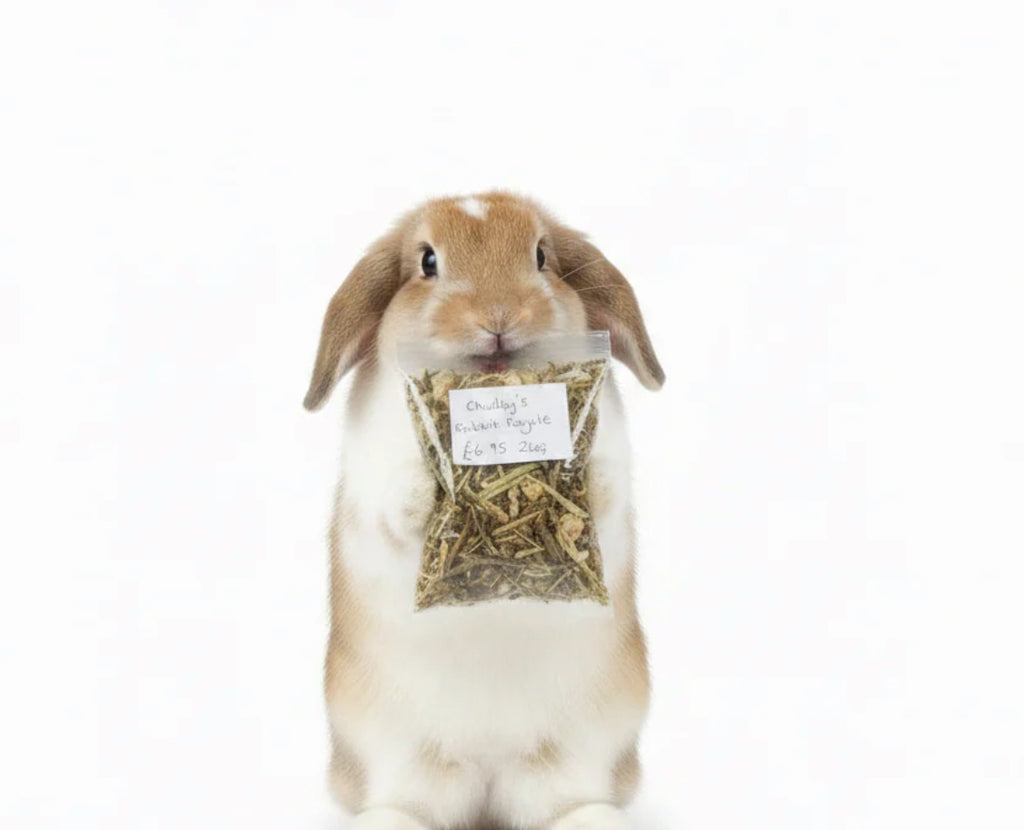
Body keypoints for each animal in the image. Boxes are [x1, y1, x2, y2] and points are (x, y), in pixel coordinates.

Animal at [303, 191, 664, 830]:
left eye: (541, 255)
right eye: (427, 261)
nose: (498, 316)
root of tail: (489, 778)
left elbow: (608, 488)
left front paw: (581, 480)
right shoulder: (372, 487)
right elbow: (393, 508)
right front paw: (428, 492)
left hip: (578, 749)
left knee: (565, 801)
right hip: (396, 753)